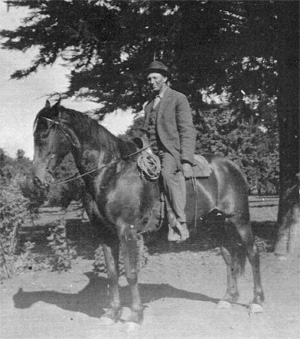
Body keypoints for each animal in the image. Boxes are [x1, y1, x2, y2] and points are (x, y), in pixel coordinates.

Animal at [31, 100, 264, 324]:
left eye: (44, 134)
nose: (38, 179)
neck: (110, 173)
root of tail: (231, 165)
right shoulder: (104, 233)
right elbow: (112, 273)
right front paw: (113, 313)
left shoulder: (127, 231)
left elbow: (131, 273)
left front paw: (135, 315)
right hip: (216, 224)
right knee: (229, 256)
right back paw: (228, 298)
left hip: (240, 219)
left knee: (252, 253)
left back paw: (257, 302)